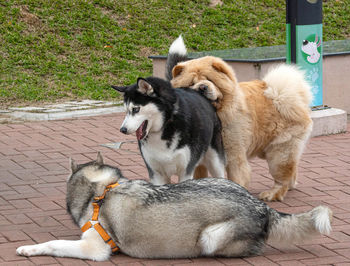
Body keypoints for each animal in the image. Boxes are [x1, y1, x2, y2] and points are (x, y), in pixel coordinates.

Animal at [171, 56, 314, 202]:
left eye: (210, 80)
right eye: (191, 83)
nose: (202, 87)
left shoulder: (233, 153)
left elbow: (236, 176)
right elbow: (199, 176)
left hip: (279, 152)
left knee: (282, 175)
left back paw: (272, 194)